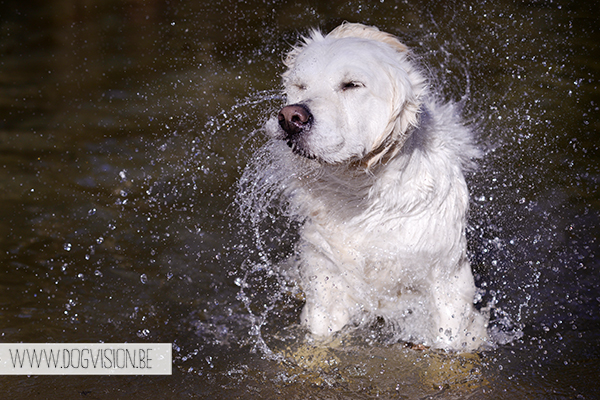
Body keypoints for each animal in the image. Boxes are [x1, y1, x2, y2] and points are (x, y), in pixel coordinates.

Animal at [255, 23, 490, 352]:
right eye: (301, 86)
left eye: (352, 85)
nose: (290, 117)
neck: (362, 193)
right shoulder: (324, 274)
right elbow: (320, 327)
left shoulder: (447, 275)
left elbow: (450, 335)